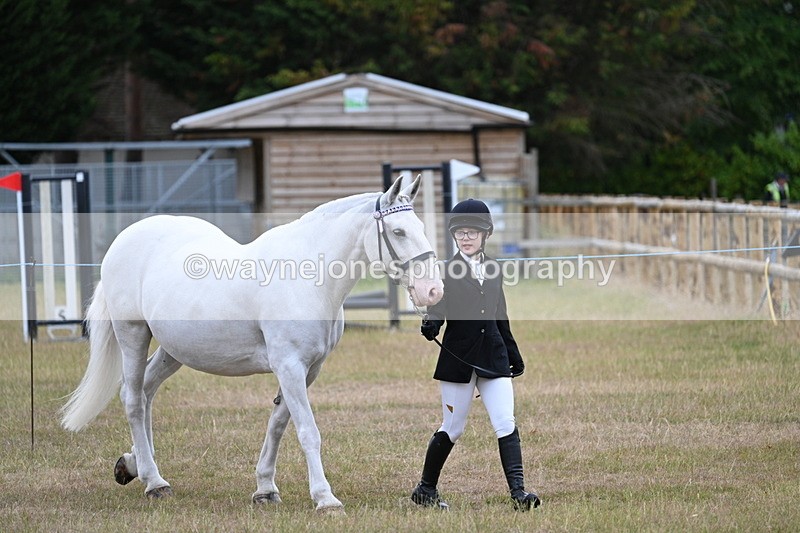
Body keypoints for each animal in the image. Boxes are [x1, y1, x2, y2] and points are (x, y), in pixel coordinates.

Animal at [61, 175, 443, 513]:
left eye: (421, 228)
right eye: (398, 231)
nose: (432, 291)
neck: (306, 277)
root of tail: (124, 239)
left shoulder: (308, 370)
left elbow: (278, 425)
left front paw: (265, 489)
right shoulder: (289, 366)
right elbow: (308, 431)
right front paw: (325, 498)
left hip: (173, 350)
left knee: (146, 391)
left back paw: (135, 464)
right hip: (133, 335)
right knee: (132, 399)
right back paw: (154, 482)